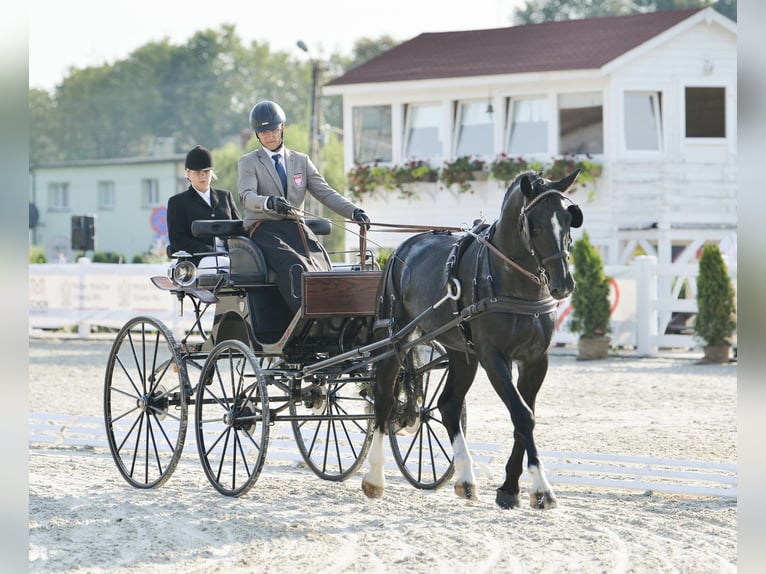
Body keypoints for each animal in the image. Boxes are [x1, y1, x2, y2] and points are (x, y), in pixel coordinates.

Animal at [364, 169, 584, 510]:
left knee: (448, 404)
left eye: (567, 218)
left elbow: (524, 418)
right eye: (534, 225)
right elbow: (522, 415)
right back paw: (374, 478)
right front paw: (541, 489)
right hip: (391, 342)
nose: (563, 283)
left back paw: (466, 478)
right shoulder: (494, 358)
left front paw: (509, 489)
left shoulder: (536, 361)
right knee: (385, 401)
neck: (514, 283)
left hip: (460, 353)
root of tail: (404, 247)